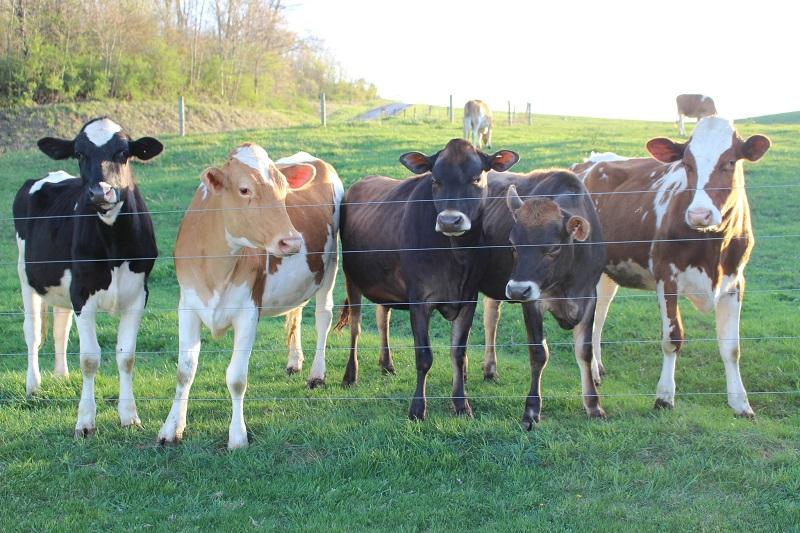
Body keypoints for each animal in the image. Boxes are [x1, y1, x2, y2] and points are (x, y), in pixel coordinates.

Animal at [13, 117, 162, 436]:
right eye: (80, 154)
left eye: (123, 152)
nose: (99, 193)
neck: (114, 245)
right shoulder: (82, 293)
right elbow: (90, 358)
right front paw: (85, 422)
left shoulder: (138, 295)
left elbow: (126, 356)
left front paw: (129, 416)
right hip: (25, 276)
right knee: (32, 333)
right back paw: (34, 385)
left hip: (62, 288)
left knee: (60, 328)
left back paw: (61, 375)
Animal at [158, 143, 342, 446]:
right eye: (244, 189)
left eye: (284, 189)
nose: (292, 241)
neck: (215, 266)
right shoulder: (187, 306)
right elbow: (185, 370)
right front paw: (171, 428)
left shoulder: (248, 312)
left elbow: (236, 377)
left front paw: (237, 436)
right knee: (296, 312)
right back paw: (294, 362)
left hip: (330, 266)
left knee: (322, 317)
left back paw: (317, 374)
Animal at [572, 117, 772, 416]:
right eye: (687, 164)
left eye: (730, 162)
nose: (699, 214)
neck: (711, 245)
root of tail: (591, 160)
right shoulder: (667, 277)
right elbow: (672, 338)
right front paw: (665, 396)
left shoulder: (735, 282)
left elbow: (731, 347)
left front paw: (740, 403)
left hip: (605, 273)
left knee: (599, 315)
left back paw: (597, 369)